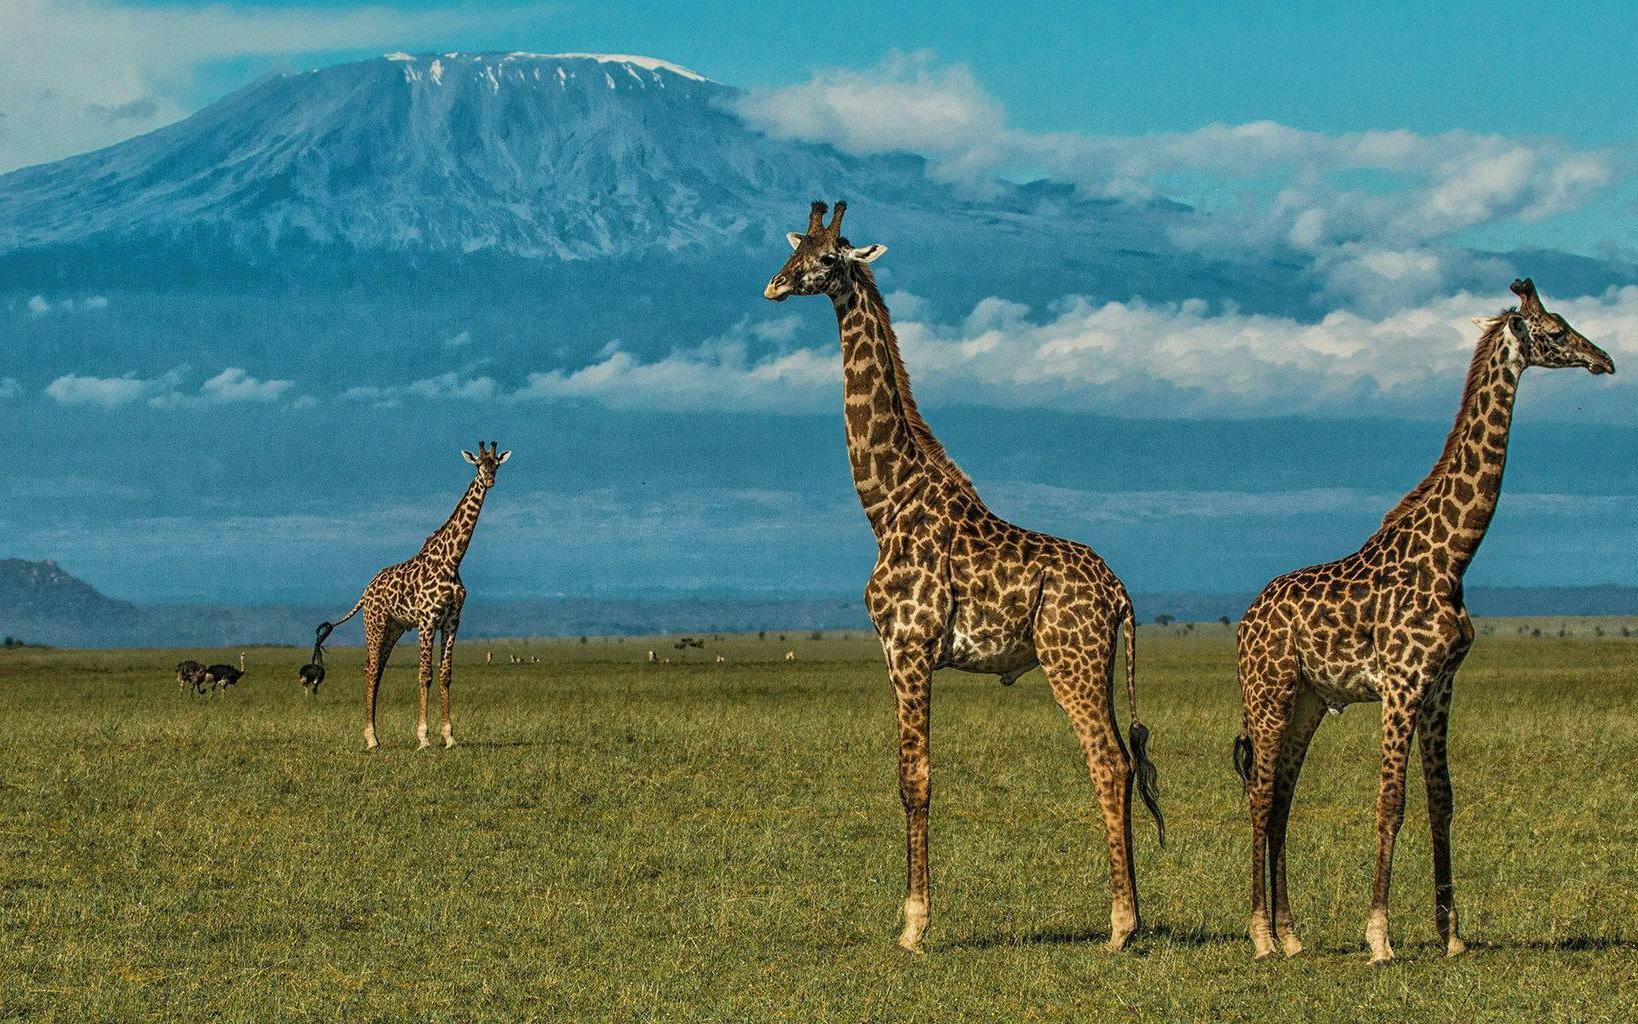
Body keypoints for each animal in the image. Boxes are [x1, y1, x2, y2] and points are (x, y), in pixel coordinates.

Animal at [322, 442, 510, 751]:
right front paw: (423, 738)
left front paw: (449, 736)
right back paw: (370, 738)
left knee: (378, 670)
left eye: (496, 465)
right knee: (370, 669)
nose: (489, 480)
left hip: (394, 628)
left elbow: (445, 675)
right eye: (477, 465)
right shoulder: (427, 621)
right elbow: (425, 675)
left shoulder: (452, 621)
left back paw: (376, 736)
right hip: (375, 624)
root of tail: (365, 591)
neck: (452, 561)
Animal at [765, 201, 1163, 952]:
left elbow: (914, 779)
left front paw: (914, 925)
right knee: (1123, 762)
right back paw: (1129, 918)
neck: (885, 503)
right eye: (794, 249)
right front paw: (915, 917)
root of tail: (1121, 594)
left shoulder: (909, 646)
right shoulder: (901, 651)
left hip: (1069, 660)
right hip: (1094, 665)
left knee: (1107, 760)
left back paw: (1122, 927)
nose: (773, 286)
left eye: (828, 258)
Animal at [1235, 279, 1613, 963]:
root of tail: (1246, 620)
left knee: (1282, 800)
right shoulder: (1402, 685)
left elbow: (1443, 802)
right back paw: (1262, 937)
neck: (1452, 554)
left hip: (1307, 701)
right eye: (1555, 330)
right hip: (1268, 692)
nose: (1606, 360)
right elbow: (1392, 801)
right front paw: (1380, 936)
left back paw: (1293, 934)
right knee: (1260, 797)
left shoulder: (1441, 686)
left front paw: (1452, 935)